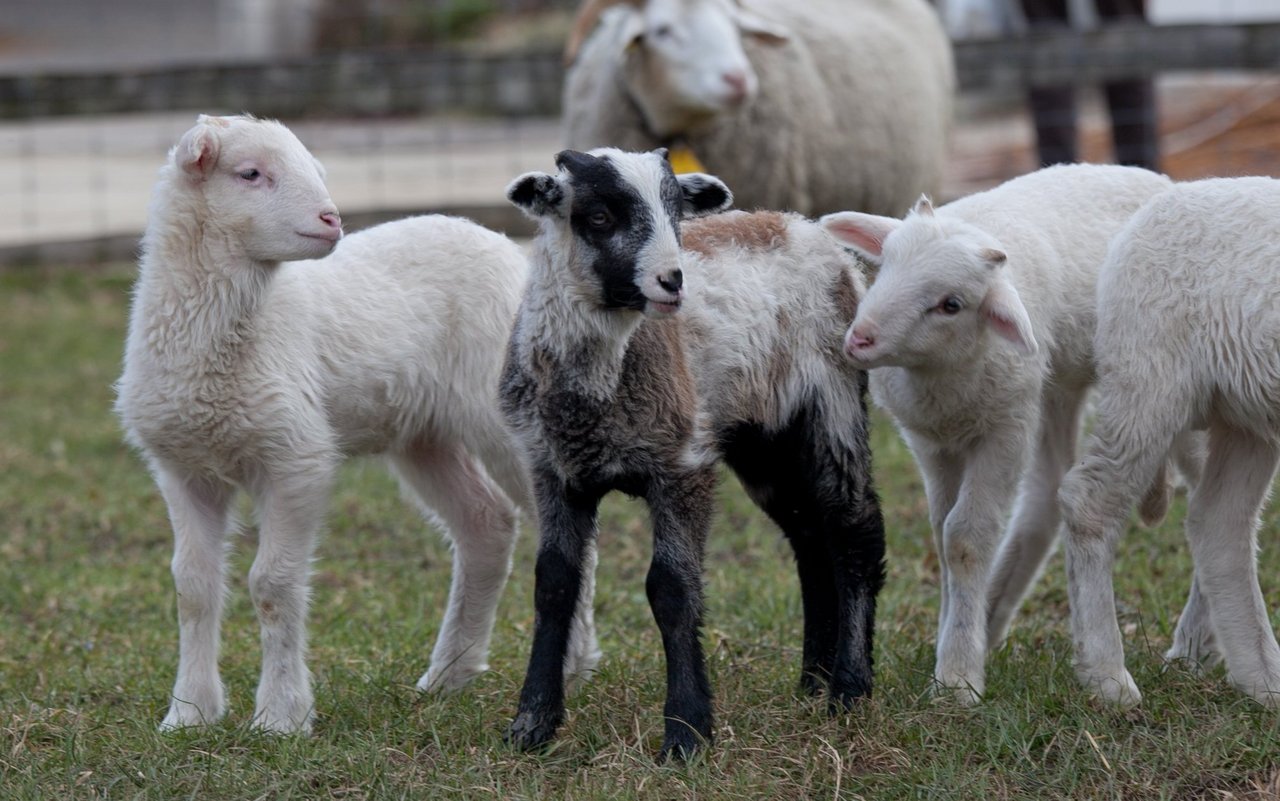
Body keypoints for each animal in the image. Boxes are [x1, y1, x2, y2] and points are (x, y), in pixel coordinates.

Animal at [115, 112, 599, 731]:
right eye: (251, 174)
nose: (331, 220)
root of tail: (499, 242)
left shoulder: (296, 458)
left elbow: (272, 584)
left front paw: (280, 717)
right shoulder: (184, 467)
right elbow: (193, 587)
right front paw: (189, 714)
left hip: (509, 416)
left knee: (566, 531)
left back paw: (572, 664)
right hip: (425, 434)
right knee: (485, 524)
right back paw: (449, 675)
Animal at [824, 165, 1172, 701]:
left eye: (951, 304)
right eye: (885, 265)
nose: (860, 339)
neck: (941, 379)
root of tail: (1157, 177)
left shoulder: (1004, 430)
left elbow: (966, 538)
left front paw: (958, 677)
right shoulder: (933, 443)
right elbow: (942, 533)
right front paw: (952, 640)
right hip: (1054, 385)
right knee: (1047, 493)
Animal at [1054, 176, 1280, 706]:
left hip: (1247, 409)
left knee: (1219, 523)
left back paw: (1261, 679)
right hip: (1149, 376)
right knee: (1089, 504)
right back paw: (1108, 678)